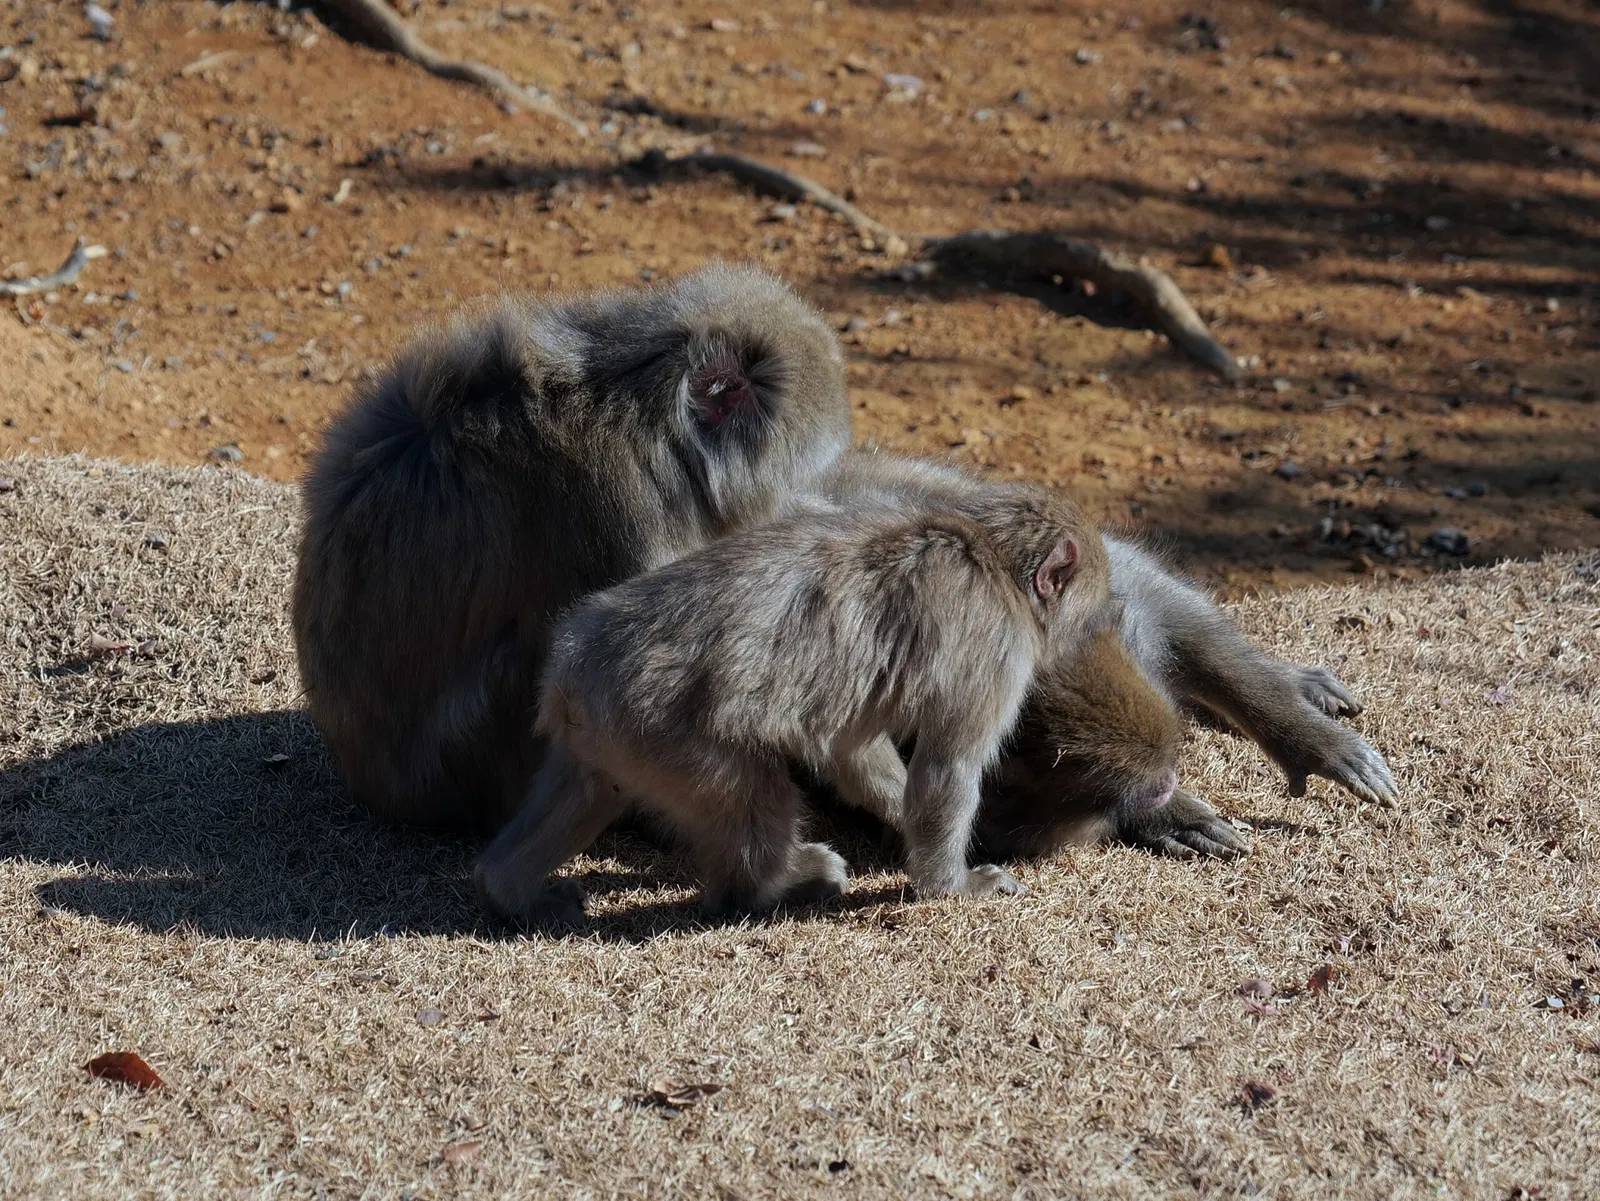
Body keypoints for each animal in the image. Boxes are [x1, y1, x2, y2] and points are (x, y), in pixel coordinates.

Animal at [471, 484, 1115, 925]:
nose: (1093, 634)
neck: (990, 553)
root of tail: (571, 666)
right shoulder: (995, 646)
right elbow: (946, 767)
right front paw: (952, 885)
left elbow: (850, 747)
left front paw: (895, 818)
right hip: (657, 729)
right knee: (751, 792)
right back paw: (777, 886)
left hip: (603, 730)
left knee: (590, 790)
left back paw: (510, 887)